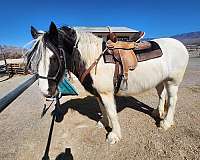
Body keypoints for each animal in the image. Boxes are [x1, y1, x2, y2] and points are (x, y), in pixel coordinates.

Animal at [26, 21, 189, 144]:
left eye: (54, 58)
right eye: (34, 59)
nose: (46, 91)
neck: (93, 59)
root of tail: (180, 45)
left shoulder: (106, 93)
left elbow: (112, 112)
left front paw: (114, 135)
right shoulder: (98, 93)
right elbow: (102, 108)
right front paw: (103, 122)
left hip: (172, 82)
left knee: (172, 100)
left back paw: (166, 122)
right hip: (160, 80)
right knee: (161, 95)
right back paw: (157, 112)